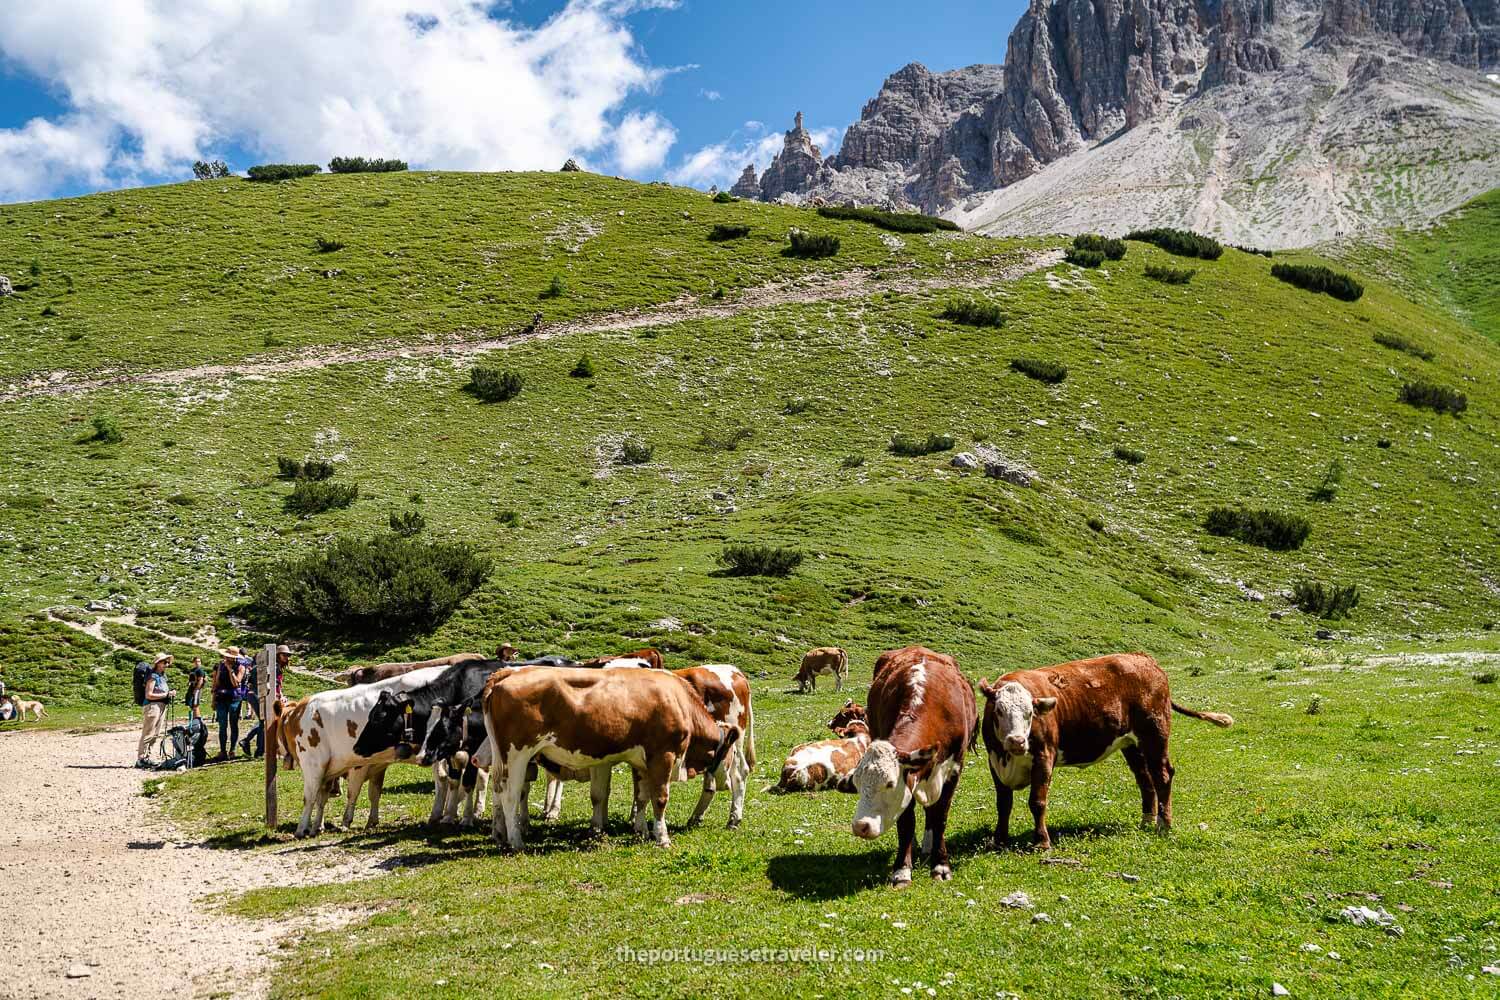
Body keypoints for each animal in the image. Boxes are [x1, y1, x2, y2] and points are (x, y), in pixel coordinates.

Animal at [480, 668, 738, 851]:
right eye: (733, 753)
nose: (727, 783)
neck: (678, 701)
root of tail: (509, 673)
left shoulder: (641, 761)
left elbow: (642, 797)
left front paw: (641, 831)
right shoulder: (663, 756)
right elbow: (660, 798)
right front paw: (662, 838)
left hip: (502, 756)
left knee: (497, 789)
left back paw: (500, 835)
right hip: (517, 754)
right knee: (510, 795)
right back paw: (516, 841)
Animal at [852, 650, 978, 893]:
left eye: (890, 784)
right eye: (858, 784)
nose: (860, 826)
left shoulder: (953, 771)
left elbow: (940, 818)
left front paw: (941, 866)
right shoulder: (909, 781)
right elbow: (906, 823)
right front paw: (902, 870)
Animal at [978, 650, 1236, 851]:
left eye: (1030, 713)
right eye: (999, 710)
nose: (1017, 741)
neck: (1009, 758)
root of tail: (1144, 659)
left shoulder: (1044, 757)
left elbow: (1037, 801)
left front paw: (1042, 842)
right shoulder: (994, 761)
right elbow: (1003, 803)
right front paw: (999, 839)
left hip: (1155, 734)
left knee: (1162, 775)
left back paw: (1163, 825)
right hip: (1132, 745)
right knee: (1145, 779)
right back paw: (1147, 820)